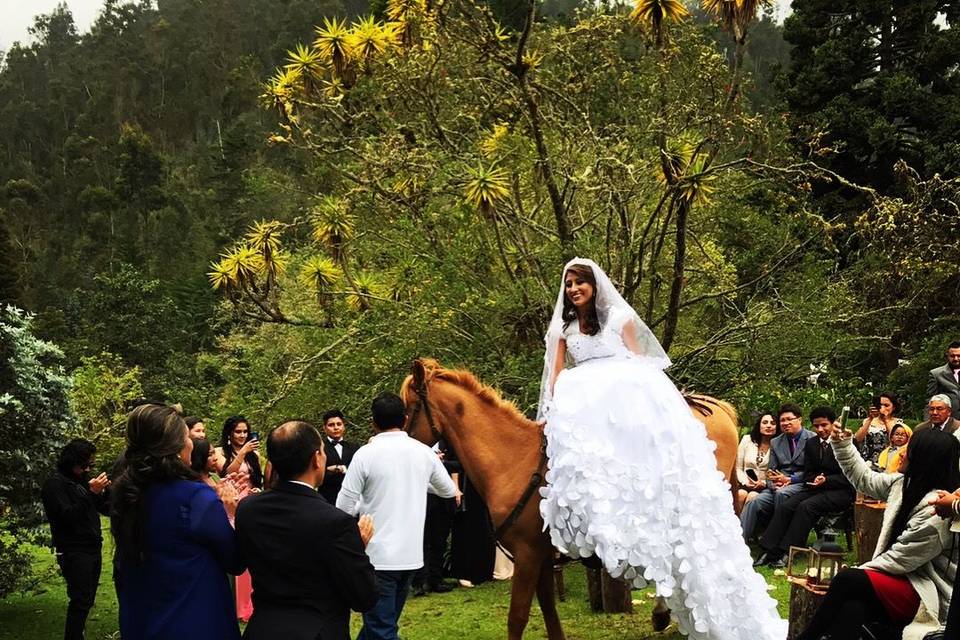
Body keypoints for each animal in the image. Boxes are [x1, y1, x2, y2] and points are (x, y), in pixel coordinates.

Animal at [402, 358, 740, 640]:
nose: (397, 436)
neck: (513, 460)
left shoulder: (527, 556)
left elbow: (517, 618)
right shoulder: (540, 558)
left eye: (408, 407)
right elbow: (550, 614)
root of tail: (718, 409)